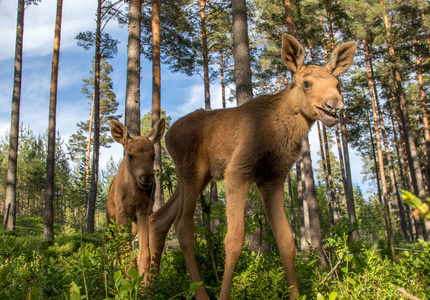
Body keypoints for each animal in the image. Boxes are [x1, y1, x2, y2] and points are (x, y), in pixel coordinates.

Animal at [107, 119, 165, 282]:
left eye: (153, 155)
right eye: (130, 155)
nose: (146, 178)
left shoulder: (144, 212)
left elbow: (144, 254)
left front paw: (142, 282)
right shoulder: (122, 212)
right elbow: (126, 253)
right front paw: (128, 282)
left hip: (133, 225)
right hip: (110, 219)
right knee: (109, 245)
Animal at [148, 33, 356, 300]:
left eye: (338, 84)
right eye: (306, 83)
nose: (334, 105)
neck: (281, 134)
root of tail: (167, 135)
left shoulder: (273, 178)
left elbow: (287, 240)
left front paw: (294, 294)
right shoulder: (238, 170)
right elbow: (235, 240)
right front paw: (224, 295)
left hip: (198, 177)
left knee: (159, 218)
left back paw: (148, 286)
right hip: (193, 172)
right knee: (183, 225)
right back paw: (199, 293)